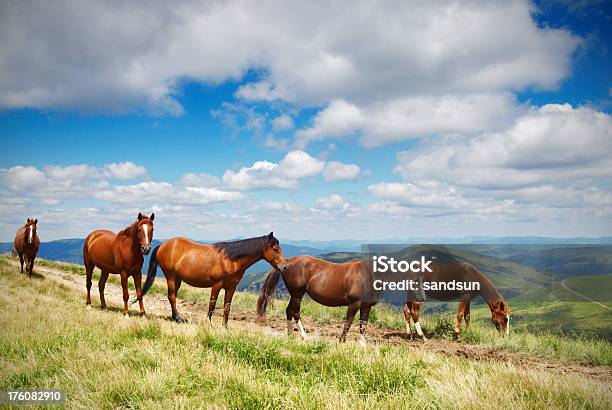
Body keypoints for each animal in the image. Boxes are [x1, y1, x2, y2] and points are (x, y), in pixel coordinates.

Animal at [142, 232, 288, 326]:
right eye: (275, 249)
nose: (285, 266)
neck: (230, 260)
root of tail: (162, 245)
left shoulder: (231, 287)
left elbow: (227, 306)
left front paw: (225, 326)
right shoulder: (216, 285)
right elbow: (212, 304)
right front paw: (209, 323)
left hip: (177, 278)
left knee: (172, 296)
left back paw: (175, 317)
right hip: (171, 276)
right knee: (172, 296)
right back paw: (178, 319)